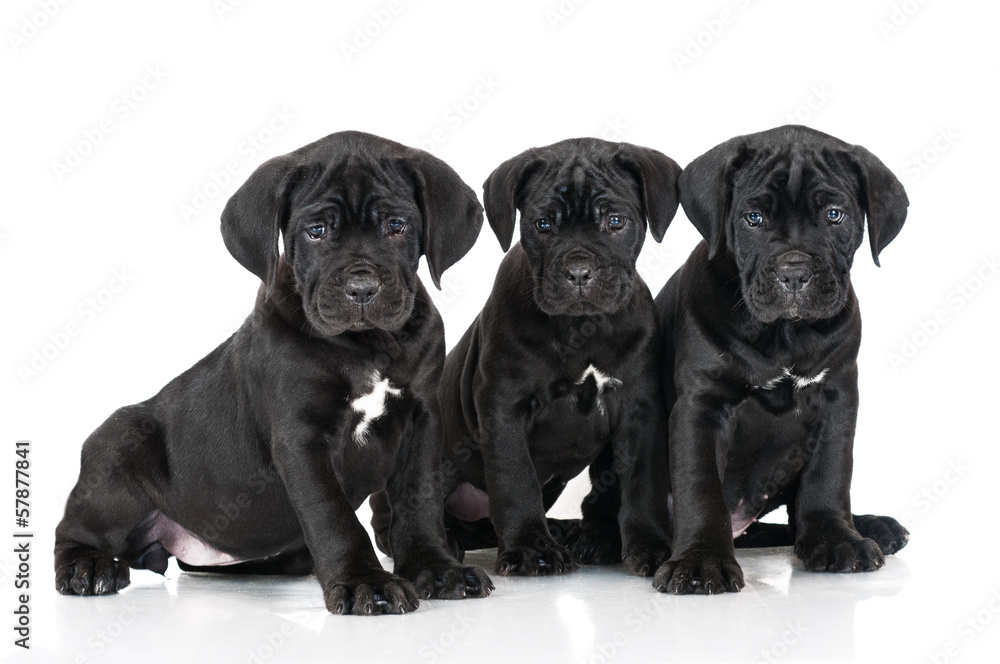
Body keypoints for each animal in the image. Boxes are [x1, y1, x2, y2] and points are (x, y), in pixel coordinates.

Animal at [53, 132, 492, 616]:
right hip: (119, 444)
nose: (361, 288)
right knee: (72, 530)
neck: (368, 346)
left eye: (396, 226)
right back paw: (88, 567)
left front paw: (438, 568)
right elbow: (333, 516)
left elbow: (420, 502)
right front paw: (365, 582)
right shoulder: (301, 437)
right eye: (316, 231)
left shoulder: (423, 420)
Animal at [408, 139, 680, 576]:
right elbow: (515, 480)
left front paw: (651, 545)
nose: (579, 271)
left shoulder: (641, 407)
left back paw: (585, 536)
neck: (581, 328)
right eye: (543, 225)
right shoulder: (504, 407)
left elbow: (643, 482)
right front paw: (529, 548)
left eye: (616, 221)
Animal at [652, 126, 912, 596]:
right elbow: (700, 485)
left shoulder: (837, 396)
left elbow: (830, 474)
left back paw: (870, 526)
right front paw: (701, 561)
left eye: (834, 215)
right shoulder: (700, 405)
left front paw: (836, 539)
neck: (784, 335)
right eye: (753, 218)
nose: (794, 272)